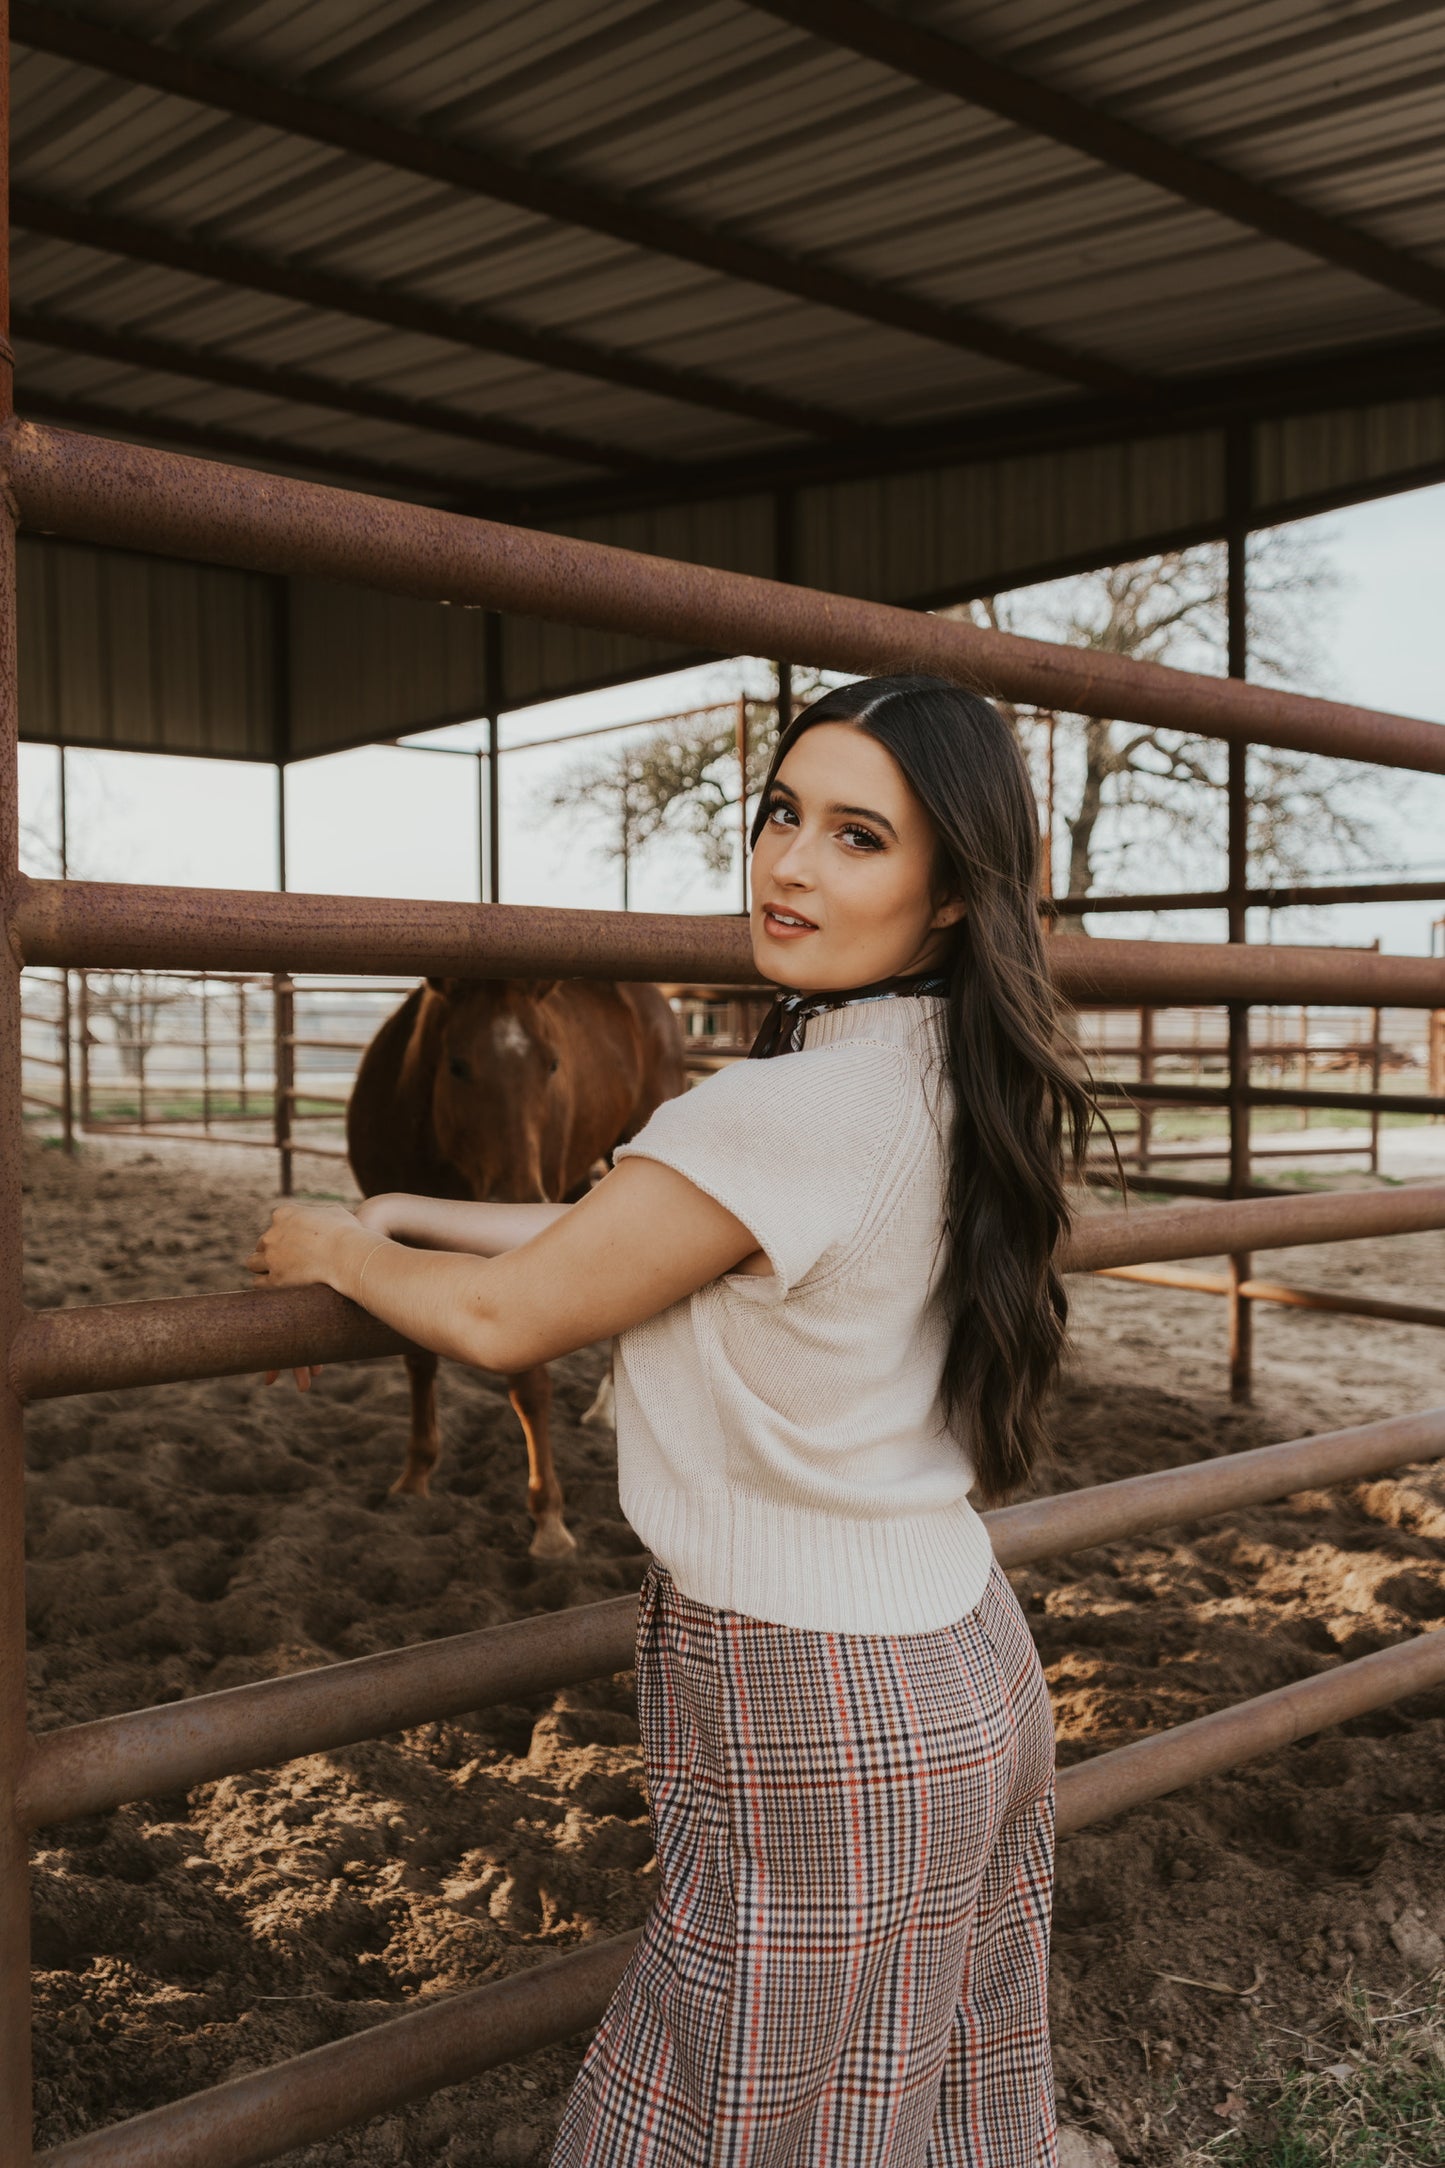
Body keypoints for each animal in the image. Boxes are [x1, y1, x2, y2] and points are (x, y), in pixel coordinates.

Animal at [350, 984, 688, 1560]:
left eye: (552, 1063)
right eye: (457, 1064)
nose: (517, 1198)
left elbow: (528, 1384)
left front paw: (548, 1518)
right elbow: (417, 1359)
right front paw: (415, 1475)